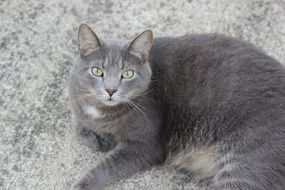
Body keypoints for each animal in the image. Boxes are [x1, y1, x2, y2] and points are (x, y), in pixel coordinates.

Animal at [69, 23, 284, 190]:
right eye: (97, 71)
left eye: (128, 74)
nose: (111, 90)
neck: (101, 112)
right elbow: (79, 128)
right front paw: (98, 140)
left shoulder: (145, 146)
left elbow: (108, 166)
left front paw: (82, 184)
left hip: (245, 161)